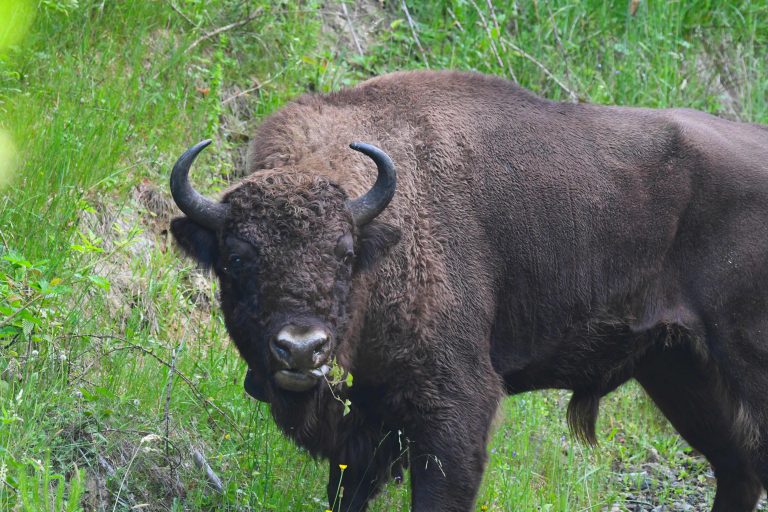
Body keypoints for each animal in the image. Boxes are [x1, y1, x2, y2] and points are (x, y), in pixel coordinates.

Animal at [170, 70, 768, 511]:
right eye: (236, 258)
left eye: (344, 252)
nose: (301, 348)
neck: (386, 230)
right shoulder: (368, 425)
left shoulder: (454, 408)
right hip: (679, 370)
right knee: (737, 467)